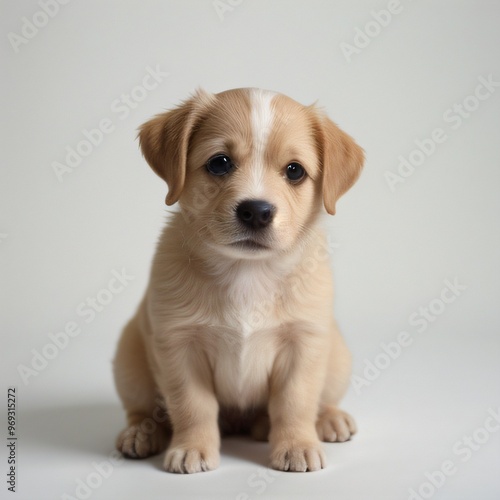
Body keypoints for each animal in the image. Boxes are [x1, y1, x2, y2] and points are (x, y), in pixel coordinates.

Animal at [113, 87, 364, 472]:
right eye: (220, 163)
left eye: (294, 171)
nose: (256, 211)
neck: (248, 271)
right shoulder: (179, 345)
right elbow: (193, 405)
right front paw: (192, 447)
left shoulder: (304, 344)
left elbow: (295, 402)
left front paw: (296, 444)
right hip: (129, 360)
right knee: (142, 410)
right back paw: (141, 432)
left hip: (337, 357)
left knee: (320, 401)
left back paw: (328, 419)